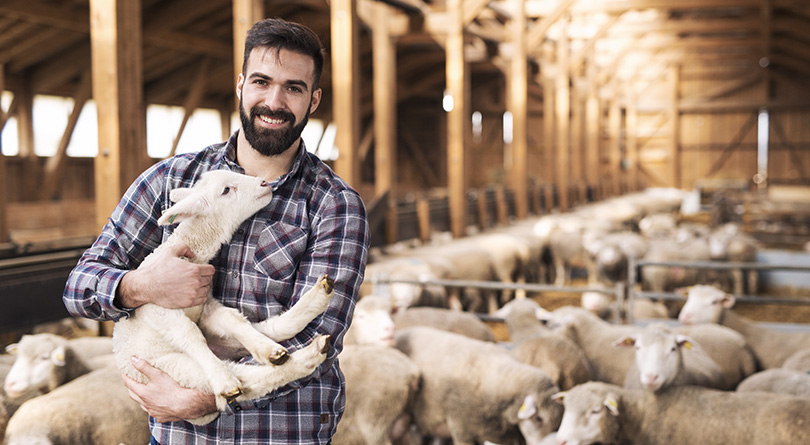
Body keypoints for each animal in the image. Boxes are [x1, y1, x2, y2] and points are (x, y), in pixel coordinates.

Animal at [110, 169, 332, 424]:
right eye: (226, 190)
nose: (264, 183)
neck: (193, 254)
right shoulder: (159, 307)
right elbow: (190, 334)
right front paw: (224, 380)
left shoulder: (205, 307)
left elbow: (231, 318)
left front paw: (269, 350)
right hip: (174, 369)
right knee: (249, 380)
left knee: (268, 330)